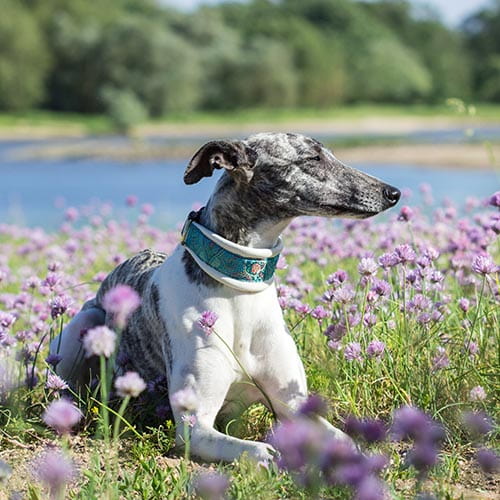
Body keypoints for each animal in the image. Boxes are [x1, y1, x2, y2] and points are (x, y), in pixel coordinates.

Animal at [50, 132, 400, 460]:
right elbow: (259, 451)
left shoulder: (292, 405)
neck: (238, 290)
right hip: (82, 327)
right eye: (313, 158)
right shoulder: (195, 427)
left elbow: (345, 440)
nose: (393, 193)